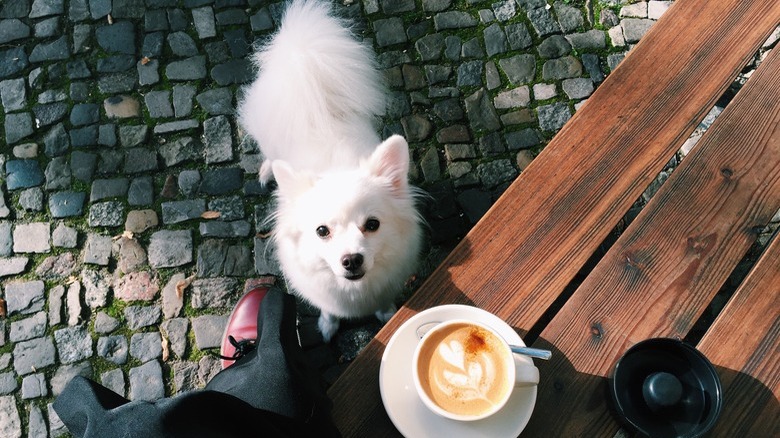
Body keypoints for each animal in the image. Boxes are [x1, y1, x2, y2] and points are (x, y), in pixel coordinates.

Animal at [238, 0, 424, 340]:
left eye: (373, 224)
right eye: (322, 231)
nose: (351, 259)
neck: (355, 293)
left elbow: (384, 305)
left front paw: (387, 315)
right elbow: (329, 311)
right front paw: (327, 326)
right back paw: (267, 171)